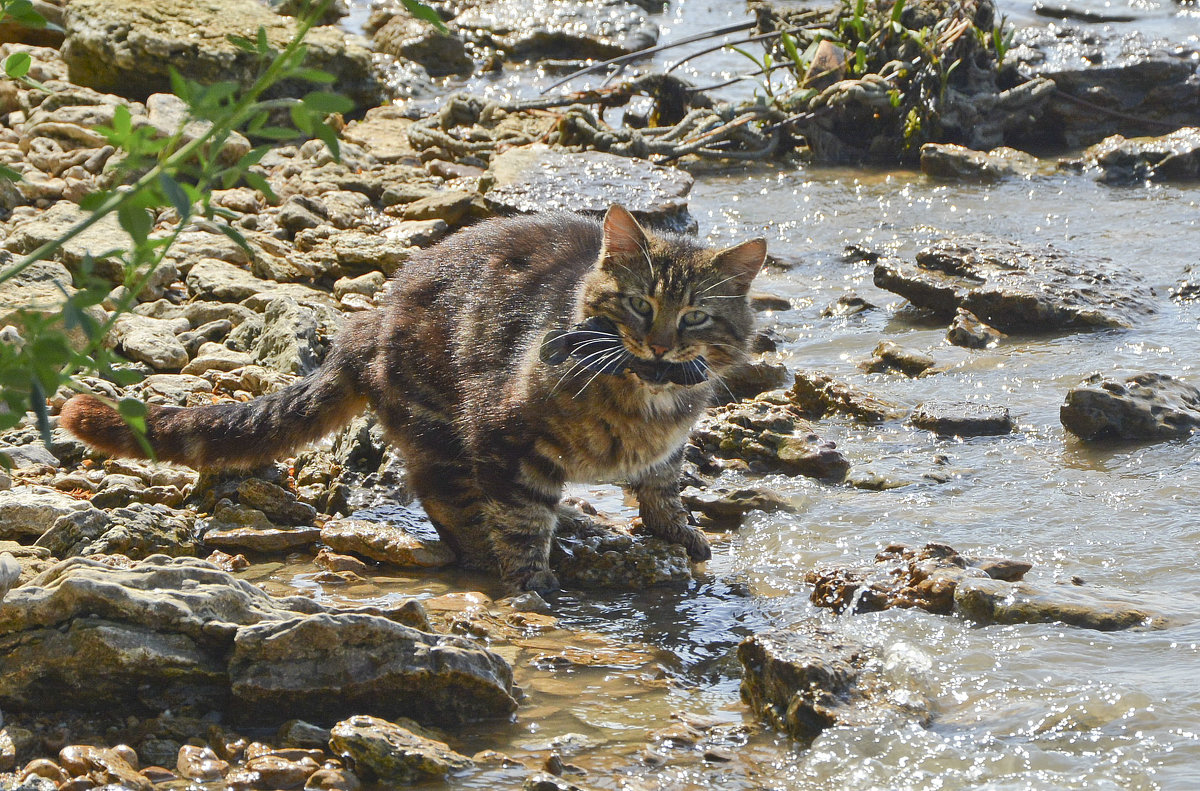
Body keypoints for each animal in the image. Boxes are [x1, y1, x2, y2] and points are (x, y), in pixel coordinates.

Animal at [56, 205, 763, 595]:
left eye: (695, 316)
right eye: (639, 304)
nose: (662, 344)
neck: (644, 401)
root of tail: (365, 324)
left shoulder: (667, 449)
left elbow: (664, 486)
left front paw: (677, 530)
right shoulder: (503, 438)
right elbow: (521, 518)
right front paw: (530, 579)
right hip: (438, 428)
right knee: (450, 502)